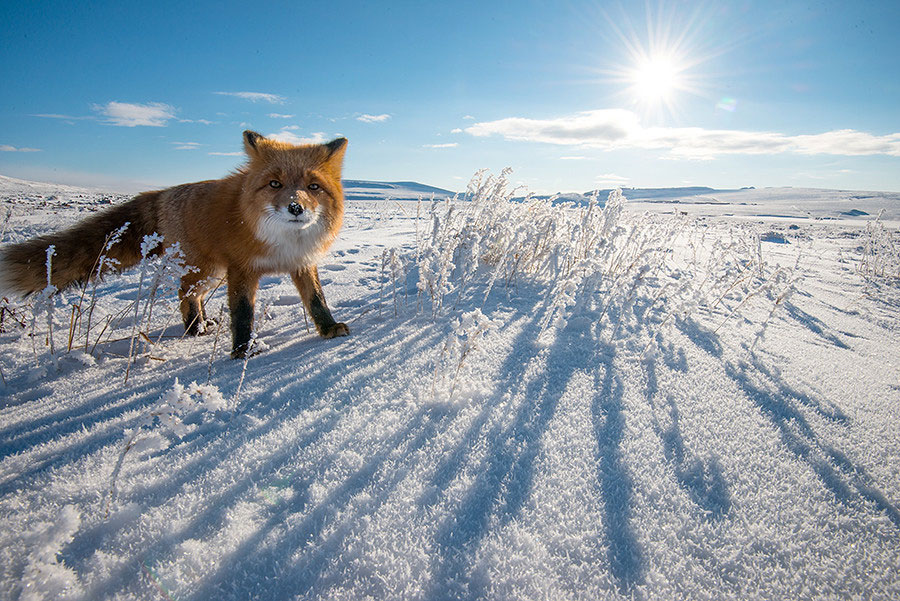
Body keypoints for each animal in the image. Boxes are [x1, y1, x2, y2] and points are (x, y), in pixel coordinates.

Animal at [0, 130, 350, 358]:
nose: (295, 207)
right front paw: (242, 350)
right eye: (275, 183)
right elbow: (242, 312)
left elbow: (316, 300)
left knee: (193, 295)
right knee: (186, 293)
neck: (284, 242)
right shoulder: (241, 270)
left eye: (313, 187)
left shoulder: (302, 263)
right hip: (208, 271)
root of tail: (162, 193)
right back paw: (195, 329)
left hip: (213, 274)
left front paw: (329, 329)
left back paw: (203, 324)